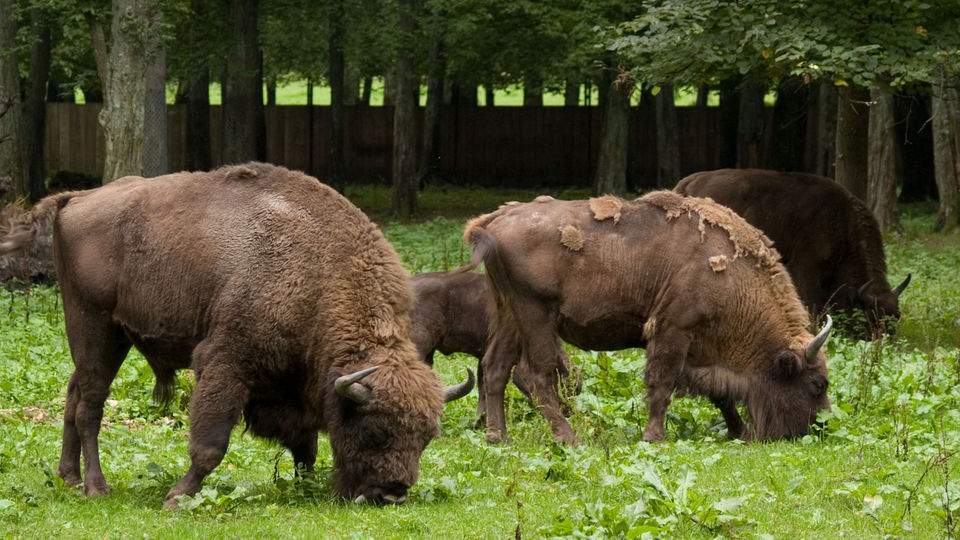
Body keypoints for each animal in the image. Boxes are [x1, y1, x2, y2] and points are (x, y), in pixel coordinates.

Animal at [0, 162, 472, 508]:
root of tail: (77, 198)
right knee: (90, 407)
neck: (321, 274)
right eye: (374, 431)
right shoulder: (226, 364)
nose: (391, 494)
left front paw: (304, 485)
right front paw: (176, 498)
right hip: (94, 325)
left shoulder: (296, 386)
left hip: (105, 337)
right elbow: (211, 444)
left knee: (73, 395)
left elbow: (306, 447)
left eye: (426, 438)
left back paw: (68, 480)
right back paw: (97, 488)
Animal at [464, 192, 832, 446]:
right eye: (817, 384)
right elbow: (662, 385)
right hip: (535, 314)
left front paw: (738, 431)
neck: (732, 274)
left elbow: (719, 394)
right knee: (537, 376)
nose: (822, 426)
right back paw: (569, 438)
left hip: (509, 314)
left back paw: (498, 438)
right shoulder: (674, 329)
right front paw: (653, 437)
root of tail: (494, 220)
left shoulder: (698, 348)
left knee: (496, 368)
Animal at [676, 169, 908, 338]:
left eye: (897, 317)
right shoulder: (806, 269)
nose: (885, 345)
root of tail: (689, 183)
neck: (842, 221)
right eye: (871, 318)